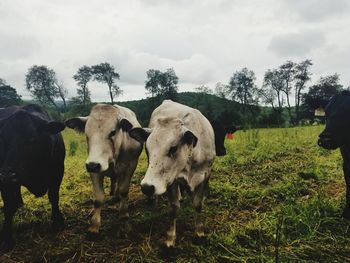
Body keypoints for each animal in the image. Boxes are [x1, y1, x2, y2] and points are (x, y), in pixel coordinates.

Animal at [0, 104, 65, 252]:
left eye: (31, 139)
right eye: (2, 139)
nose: (8, 175)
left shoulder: (57, 171)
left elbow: (54, 197)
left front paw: (57, 222)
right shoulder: (5, 182)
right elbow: (9, 206)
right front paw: (6, 239)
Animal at [65, 104, 142, 238]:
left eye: (113, 132)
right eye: (87, 133)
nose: (93, 165)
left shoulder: (130, 166)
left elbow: (124, 191)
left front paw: (123, 216)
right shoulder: (94, 169)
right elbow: (98, 199)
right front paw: (94, 226)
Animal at [129, 100, 216, 249]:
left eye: (173, 148)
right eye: (148, 148)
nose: (147, 187)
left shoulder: (205, 174)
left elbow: (198, 204)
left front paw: (199, 233)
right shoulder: (170, 180)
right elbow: (174, 209)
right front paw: (170, 239)